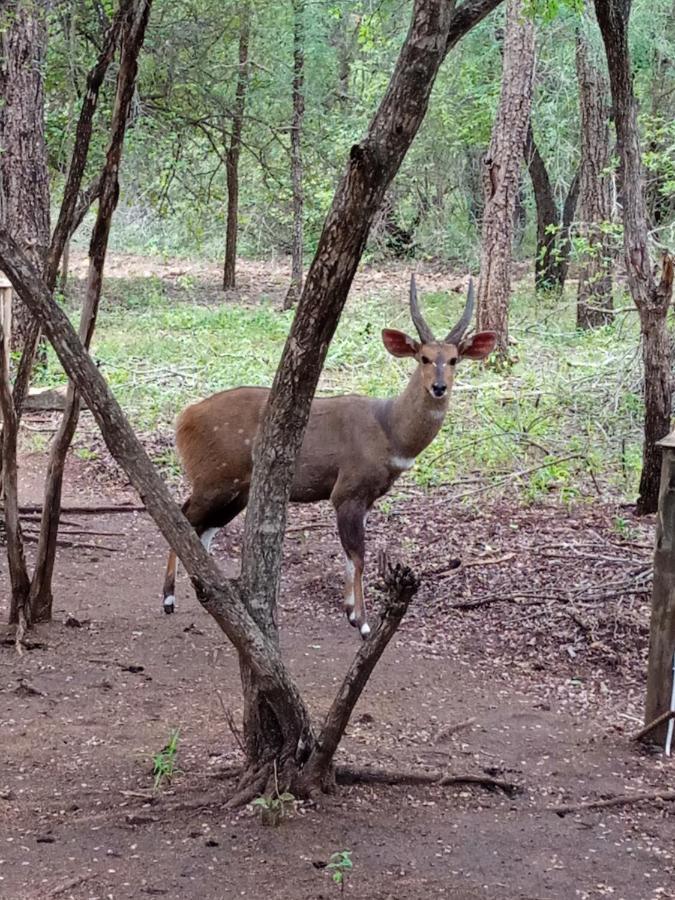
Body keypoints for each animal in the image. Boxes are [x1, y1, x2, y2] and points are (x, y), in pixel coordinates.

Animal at [162, 278, 496, 636]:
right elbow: (358, 555)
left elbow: (351, 554)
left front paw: (350, 612)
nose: (438, 387)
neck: (390, 431)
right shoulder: (347, 491)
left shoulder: (367, 498)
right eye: (423, 357)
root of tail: (185, 417)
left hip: (237, 489)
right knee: (184, 517)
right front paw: (363, 623)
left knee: (203, 527)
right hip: (215, 480)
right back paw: (169, 599)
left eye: (454, 359)